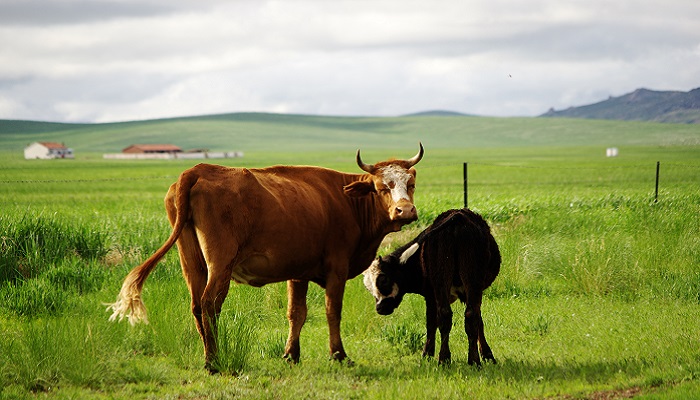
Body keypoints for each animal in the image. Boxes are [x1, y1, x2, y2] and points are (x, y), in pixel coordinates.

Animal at [106, 145, 424, 372]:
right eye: (382, 187)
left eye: (410, 184)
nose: (405, 211)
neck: (347, 202)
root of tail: (198, 170)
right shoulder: (337, 268)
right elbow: (332, 311)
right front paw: (338, 354)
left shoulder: (299, 271)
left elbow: (297, 313)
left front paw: (291, 355)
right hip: (220, 263)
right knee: (210, 304)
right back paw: (214, 361)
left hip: (192, 262)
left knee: (196, 305)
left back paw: (209, 355)